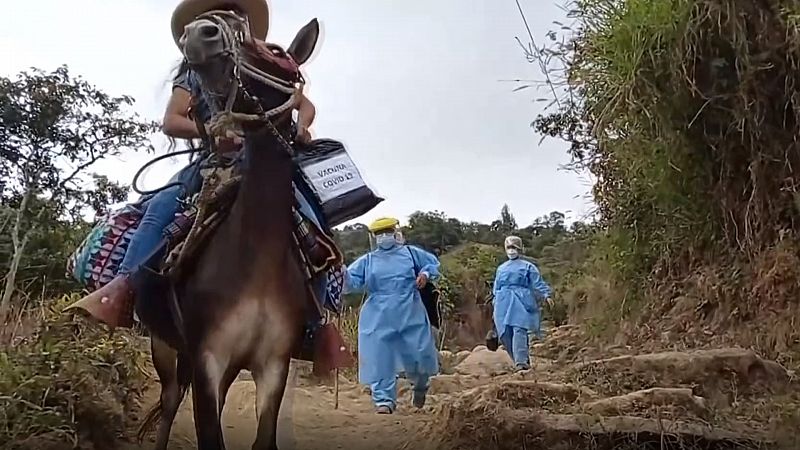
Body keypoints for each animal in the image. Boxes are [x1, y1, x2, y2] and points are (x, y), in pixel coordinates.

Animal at [136, 11, 324, 450]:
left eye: (275, 50)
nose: (200, 33)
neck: (259, 260)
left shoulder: (272, 364)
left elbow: (263, 438)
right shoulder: (208, 359)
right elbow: (209, 434)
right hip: (164, 347)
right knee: (170, 401)